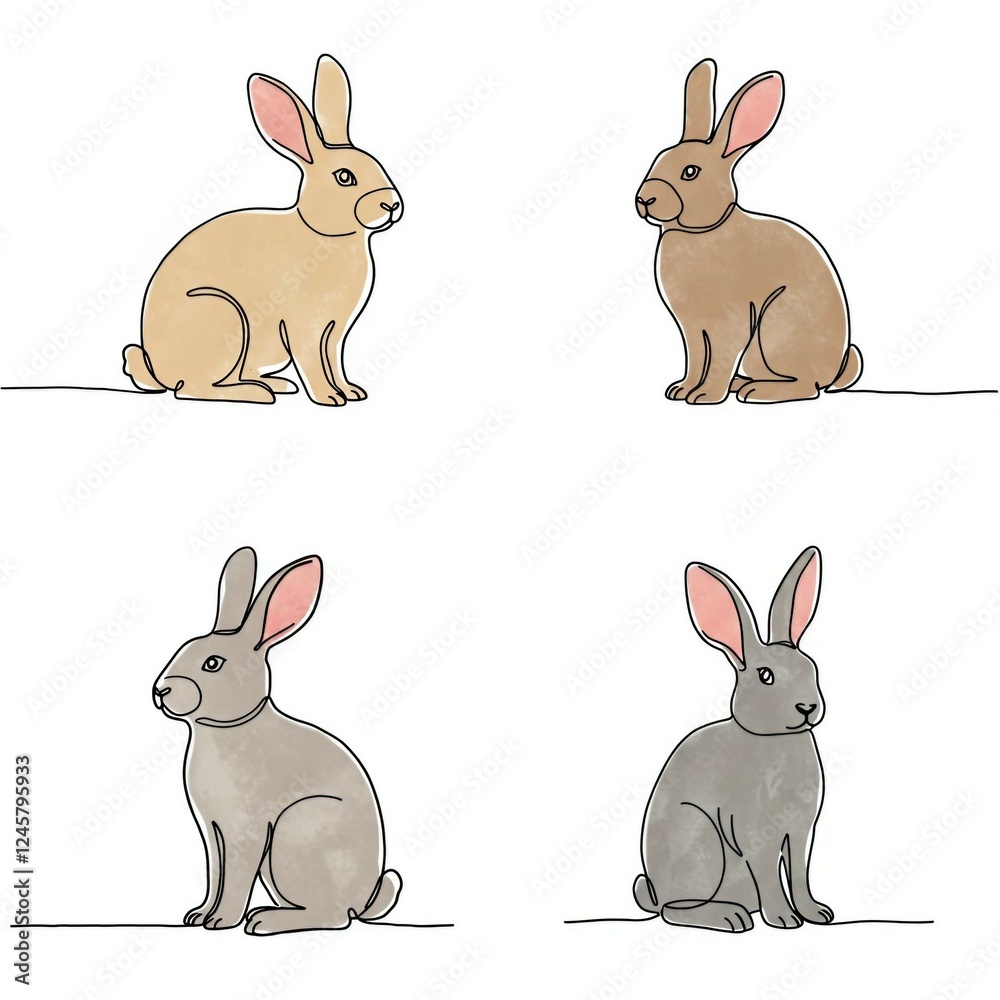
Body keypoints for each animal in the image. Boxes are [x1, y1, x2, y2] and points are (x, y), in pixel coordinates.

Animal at [124, 54, 402, 405]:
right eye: (344, 177)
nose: (391, 204)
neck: (325, 235)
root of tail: (157, 369)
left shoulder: (335, 332)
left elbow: (334, 361)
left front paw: (352, 392)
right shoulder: (305, 326)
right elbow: (313, 361)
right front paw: (329, 398)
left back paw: (278, 385)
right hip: (222, 317)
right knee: (192, 388)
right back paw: (258, 394)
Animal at [151, 546, 402, 934]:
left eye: (213, 663)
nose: (160, 690)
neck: (227, 727)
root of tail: (364, 900)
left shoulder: (248, 829)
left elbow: (235, 877)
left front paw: (221, 921)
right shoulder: (212, 831)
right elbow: (215, 873)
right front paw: (199, 915)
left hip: (296, 832)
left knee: (333, 916)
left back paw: (264, 921)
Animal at [633, 547, 834, 932]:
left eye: (811, 667)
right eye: (766, 676)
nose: (807, 707)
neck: (772, 737)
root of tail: (655, 891)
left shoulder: (802, 831)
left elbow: (799, 873)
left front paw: (816, 913)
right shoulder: (755, 831)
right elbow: (770, 874)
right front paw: (784, 919)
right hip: (702, 843)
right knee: (674, 911)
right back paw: (730, 917)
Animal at [635, 60, 862, 404]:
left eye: (690, 172)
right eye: (657, 159)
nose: (644, 199)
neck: (702, 230)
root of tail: (835, 371)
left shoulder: (731, 321)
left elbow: (719, 358)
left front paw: (705, 397)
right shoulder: (692, 329)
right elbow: (696, 359)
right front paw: (681, 390)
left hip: (775, 327)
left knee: (807, 386)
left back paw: (754, 392)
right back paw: (742, 384)